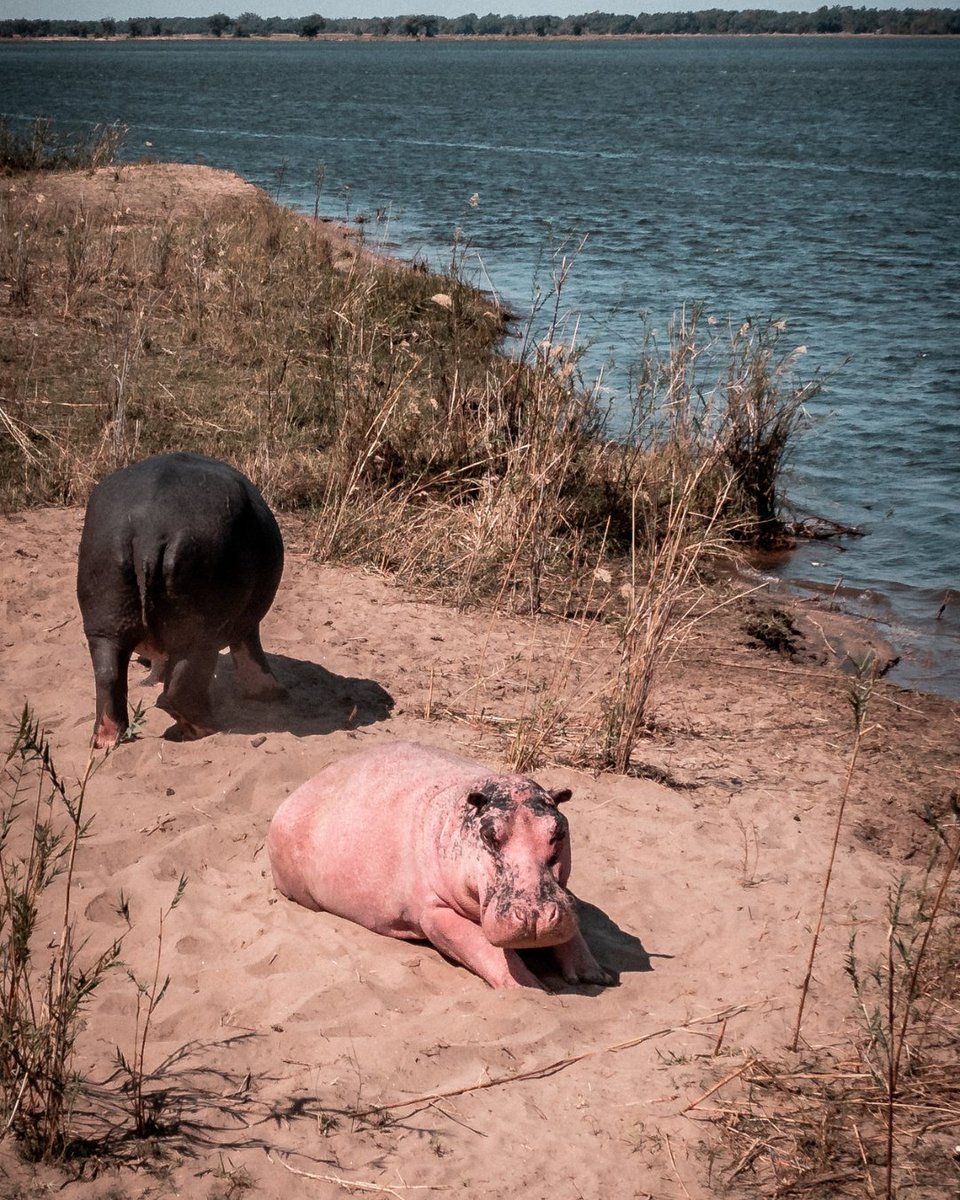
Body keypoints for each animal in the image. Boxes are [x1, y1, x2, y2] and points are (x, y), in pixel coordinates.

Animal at [76, 452, 285, 747]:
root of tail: (149, 531)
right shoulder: (244, 622)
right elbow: (250, 649)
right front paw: (273, 693)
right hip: (198, 633)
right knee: (180, 683)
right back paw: (204, 727)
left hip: (104, 618)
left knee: (108, 674)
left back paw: (107, 739)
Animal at [267, 741, 615, 989]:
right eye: (489, 834)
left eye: (558, 831)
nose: (537, 915)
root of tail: (304, 787)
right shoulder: (434, 912)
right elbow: (483, 947)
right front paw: (532, 987)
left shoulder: (563, 893)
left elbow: (572, 925)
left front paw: (595, 976)